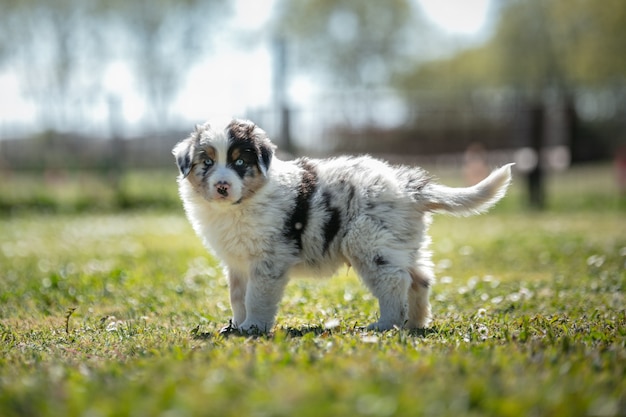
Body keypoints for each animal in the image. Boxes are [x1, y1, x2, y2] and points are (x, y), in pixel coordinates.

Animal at [172, 118, 512, 334]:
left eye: (240, 162)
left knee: (394, 281)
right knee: (420, 278)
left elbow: (257, 297)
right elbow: (238, 297)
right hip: (401, 241)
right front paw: (237, 325)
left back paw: (385, 325)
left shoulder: (268, 261)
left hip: (369, 243)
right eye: (207, 162)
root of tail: (408, 188)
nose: (222, 187)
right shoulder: (238, 263)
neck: (241, 204)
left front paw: (253, 327)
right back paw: (415, 323)